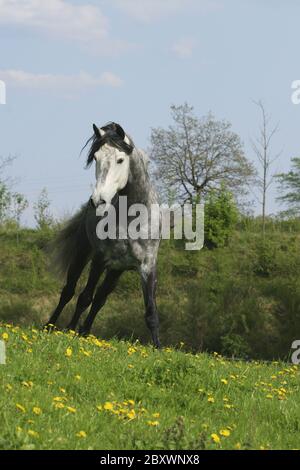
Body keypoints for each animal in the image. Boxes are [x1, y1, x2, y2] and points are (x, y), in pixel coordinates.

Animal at [44, 122, 162, 346]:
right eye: (96, 158)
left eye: (120, 159)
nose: (98, 201)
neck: (132, 218)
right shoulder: (100, 259)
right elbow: (84, 297)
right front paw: (70, 331)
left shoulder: (147, 265)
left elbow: (151, 312)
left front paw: (158, 348)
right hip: (83, 253)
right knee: (69, 291)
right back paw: (51, 327)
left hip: (117, 270)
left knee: (100, 299)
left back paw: (84, 331)